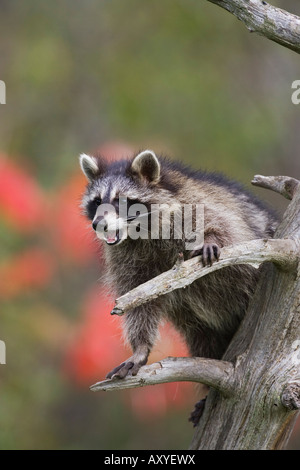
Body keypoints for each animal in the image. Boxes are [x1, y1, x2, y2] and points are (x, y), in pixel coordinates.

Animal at [78, 151, 278, 386]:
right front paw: (140, 347)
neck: (141, 230)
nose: (98, 224)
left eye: (121, 200)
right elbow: (138, 299)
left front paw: (211, 237)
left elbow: (227, 227)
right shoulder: (127, 258)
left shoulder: (194, 204)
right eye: (97, 201)